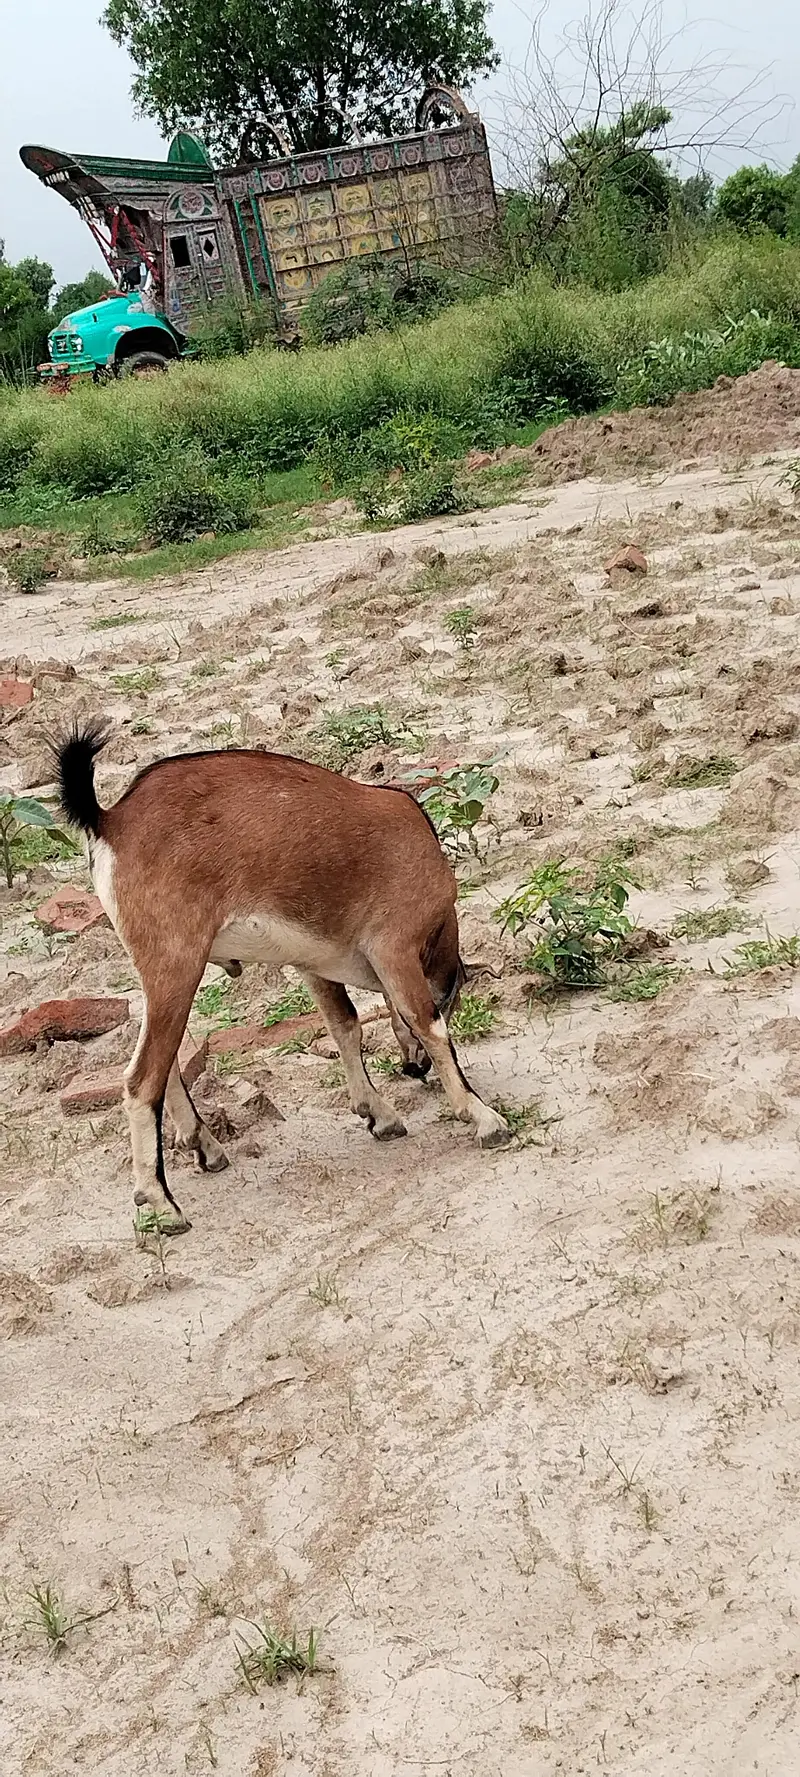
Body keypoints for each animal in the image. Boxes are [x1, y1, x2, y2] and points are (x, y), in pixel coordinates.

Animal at [54, 723, 509, 1230]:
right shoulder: (394, 946)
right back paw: (162, 1203)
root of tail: (110, 820)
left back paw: (206, 1148)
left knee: (164, 1062)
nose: (415, 1069)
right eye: (451, 998)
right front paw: (483, 1117)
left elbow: (345, 1026)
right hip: (176, 964)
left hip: (160, 975)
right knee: (141, 1079)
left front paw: (379, 1115)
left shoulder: (314, 965)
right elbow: (428, 1025)